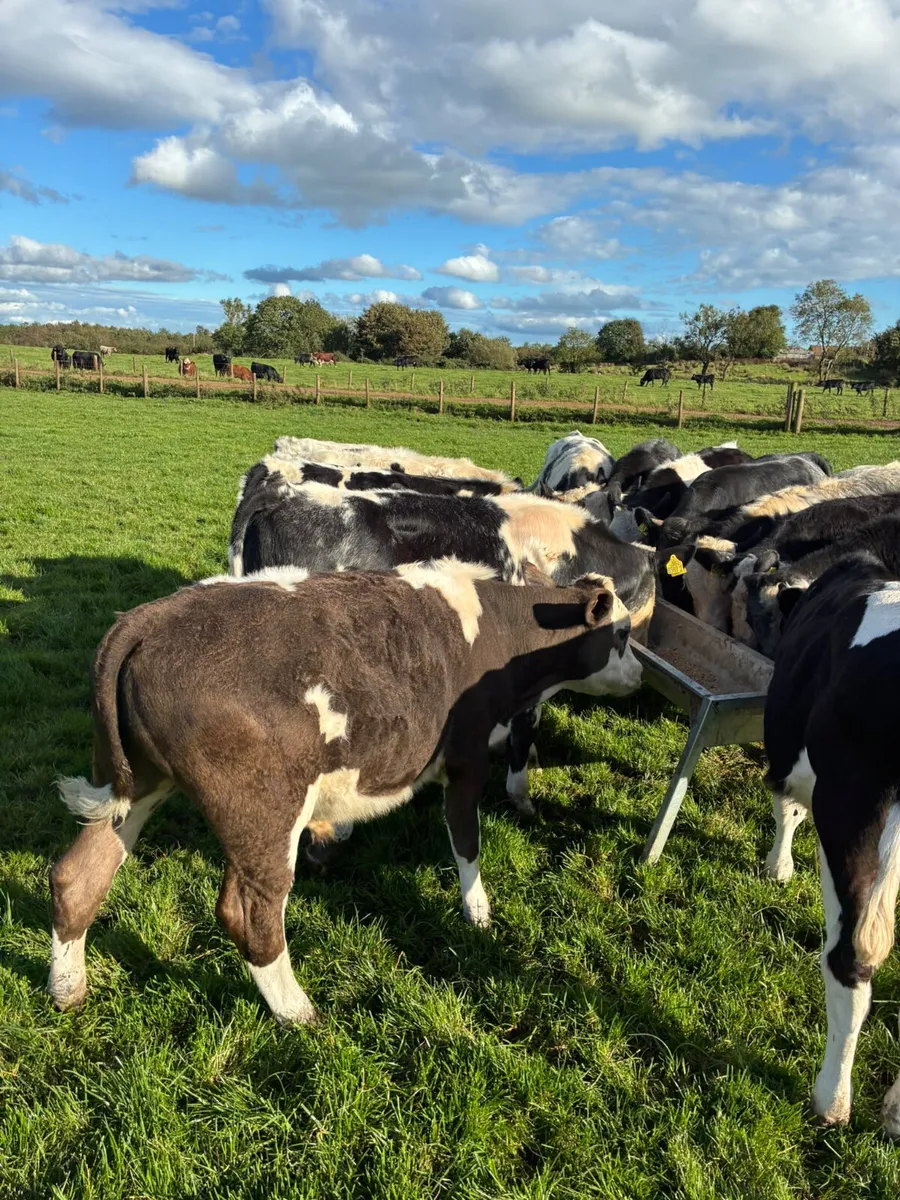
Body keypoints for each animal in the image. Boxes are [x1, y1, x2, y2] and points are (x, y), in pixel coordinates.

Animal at [48, 561, 641, 1025]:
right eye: (621, 634)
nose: (639, 674)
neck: (500, 629)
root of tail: (149, 617)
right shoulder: (467, 756)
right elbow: (467, 842)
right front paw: (478, 914)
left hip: (137, 783)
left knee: (77, 877)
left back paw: (67, 990)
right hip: (264, 807)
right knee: (248, 911)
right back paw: (298, 1012)